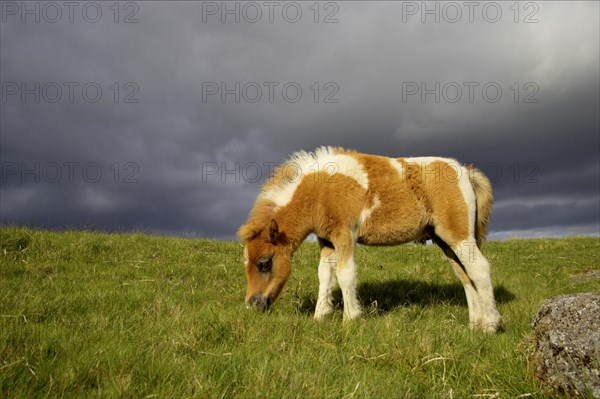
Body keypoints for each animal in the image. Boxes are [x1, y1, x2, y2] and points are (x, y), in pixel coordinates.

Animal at [237, 146, 504, 332]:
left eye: (264, 263)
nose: (252, 305)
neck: (320, 190)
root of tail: (466, 172)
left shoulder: (344, 234)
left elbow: (345, 274)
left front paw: (350, 318)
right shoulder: (326, 240)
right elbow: (325, 275)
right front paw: (320, 316)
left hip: (458, 235)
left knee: (479, 268)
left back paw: (492, 325)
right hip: (443, 240)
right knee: (464, 275)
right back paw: (475, 324)